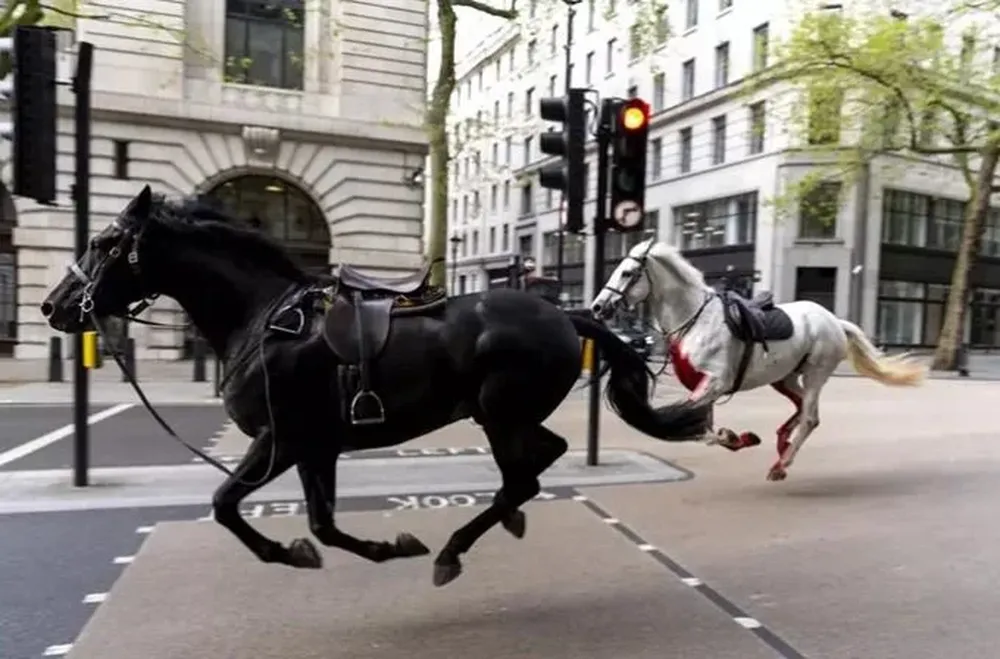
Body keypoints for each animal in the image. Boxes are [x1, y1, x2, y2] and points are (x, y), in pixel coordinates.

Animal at [40, 185, 712, 586]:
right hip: (504, 414)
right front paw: (374, 547)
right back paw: (504, 521)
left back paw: (454, 550)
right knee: (541, 460)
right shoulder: (315, 446)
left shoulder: (281, 440)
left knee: (524, 474)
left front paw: (289, 552)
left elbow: (227, 503)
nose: (53, 306)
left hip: (499, 413)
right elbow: (321, 524)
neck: (262, 319)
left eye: (103, 242)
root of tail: (565, 315)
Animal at [589, 238, 927, 482]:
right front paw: (737, 437)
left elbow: (684, 424)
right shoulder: (703, 387)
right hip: (785, 377)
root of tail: (834, 320)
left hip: (816, 373)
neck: (696, 321)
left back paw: (781, 464)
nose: (597, 307)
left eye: (628, 272)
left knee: (809, 417)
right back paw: (782, 444)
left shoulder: (715, 383)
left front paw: (734, 436)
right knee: (802, 408)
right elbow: (701, 428)